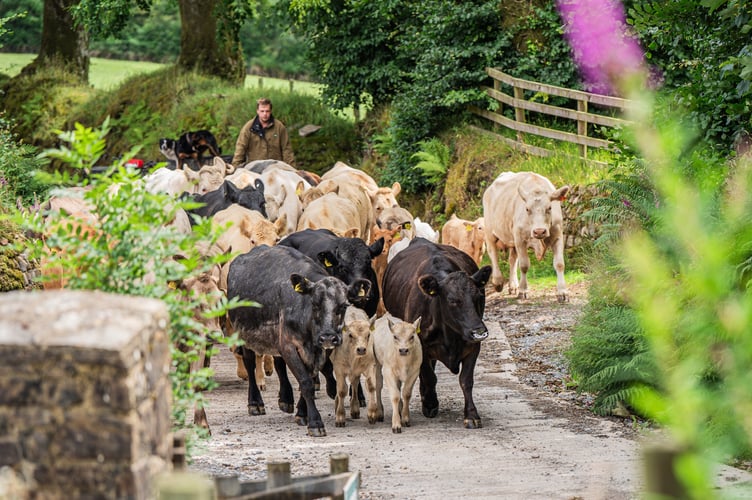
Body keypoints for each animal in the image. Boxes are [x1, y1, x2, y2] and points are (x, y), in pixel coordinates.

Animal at [228, 244, 372, 436]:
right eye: (314, 304)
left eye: (343, 306)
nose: (328, 337)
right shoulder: (289, 346)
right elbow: (305, 382)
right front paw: (315, 422)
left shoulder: (321, 350)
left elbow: (310, 378)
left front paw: (302, 413)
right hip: (243, 336)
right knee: (250, 365)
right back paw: (255, 403)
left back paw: (286, 399)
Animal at [382, 236, 494, 428]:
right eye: (452, 300)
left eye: (479, 296)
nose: (479, 331)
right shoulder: (420, 345)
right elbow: (429, 376)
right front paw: (430, 403)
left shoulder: (472, 346)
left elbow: (466, 381)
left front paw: (471, 414)